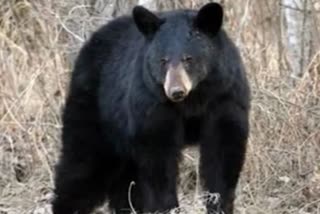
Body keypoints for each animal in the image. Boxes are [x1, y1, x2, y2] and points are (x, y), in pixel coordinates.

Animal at [52, 2, 250, 214]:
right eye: (163, 60)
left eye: (188, 59)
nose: (176, 91)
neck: (193, 100)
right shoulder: (152, 106)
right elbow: (159, 161)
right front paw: (168, 207)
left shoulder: (224, 96)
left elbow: (223, 152)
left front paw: (219, 203)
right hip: (95, 109)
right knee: (83, 164)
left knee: (124, 182)